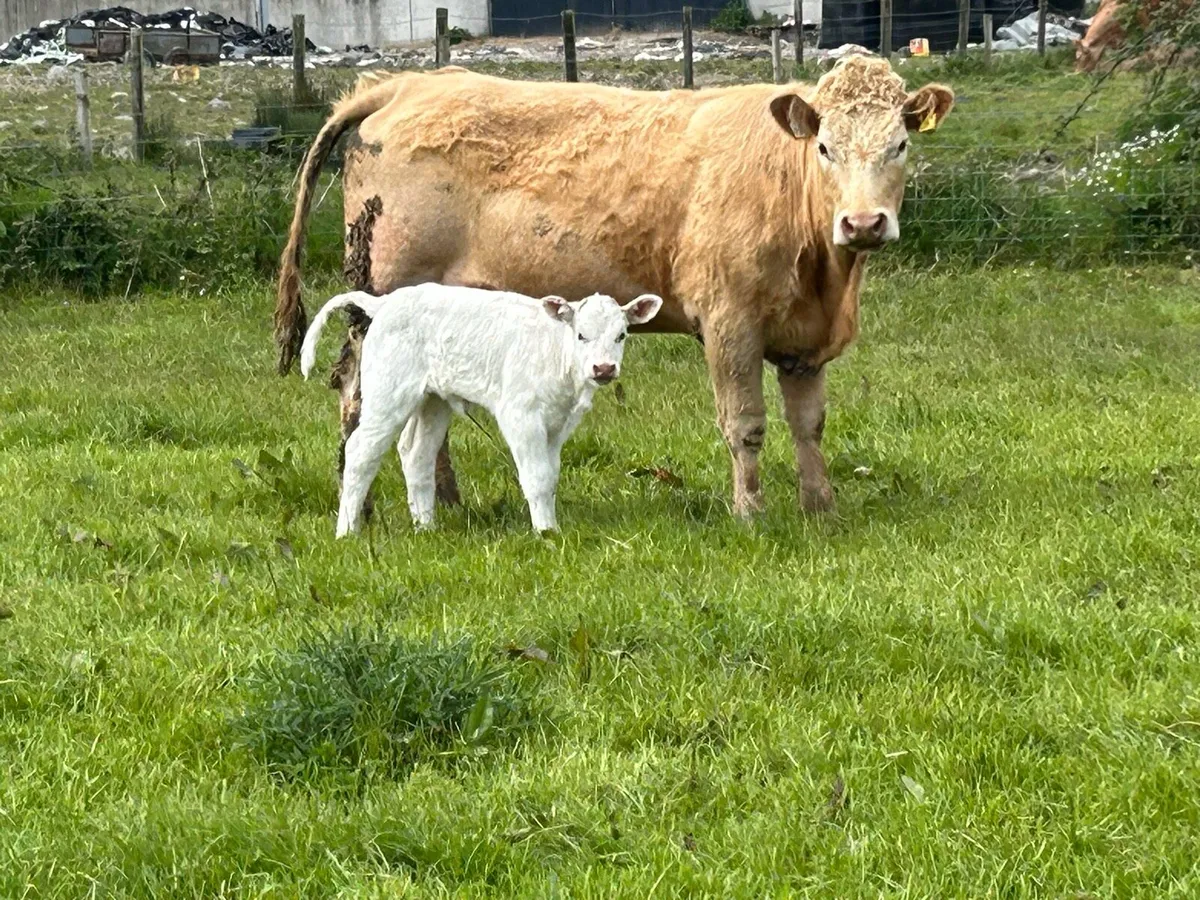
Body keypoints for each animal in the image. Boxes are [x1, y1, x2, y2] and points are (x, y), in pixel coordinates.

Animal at [275, 56, 955, 520]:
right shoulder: (730, 323)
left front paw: (821, 510)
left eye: (899, 144)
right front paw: (750, 514)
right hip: (383, 309)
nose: (863, 223)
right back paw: (364, 509)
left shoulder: (803, 341)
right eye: (825, 147)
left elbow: (809, 425)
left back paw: (446, 505)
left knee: (424, 422)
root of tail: (407, 83)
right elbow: (746, 424)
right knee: (358, 403)